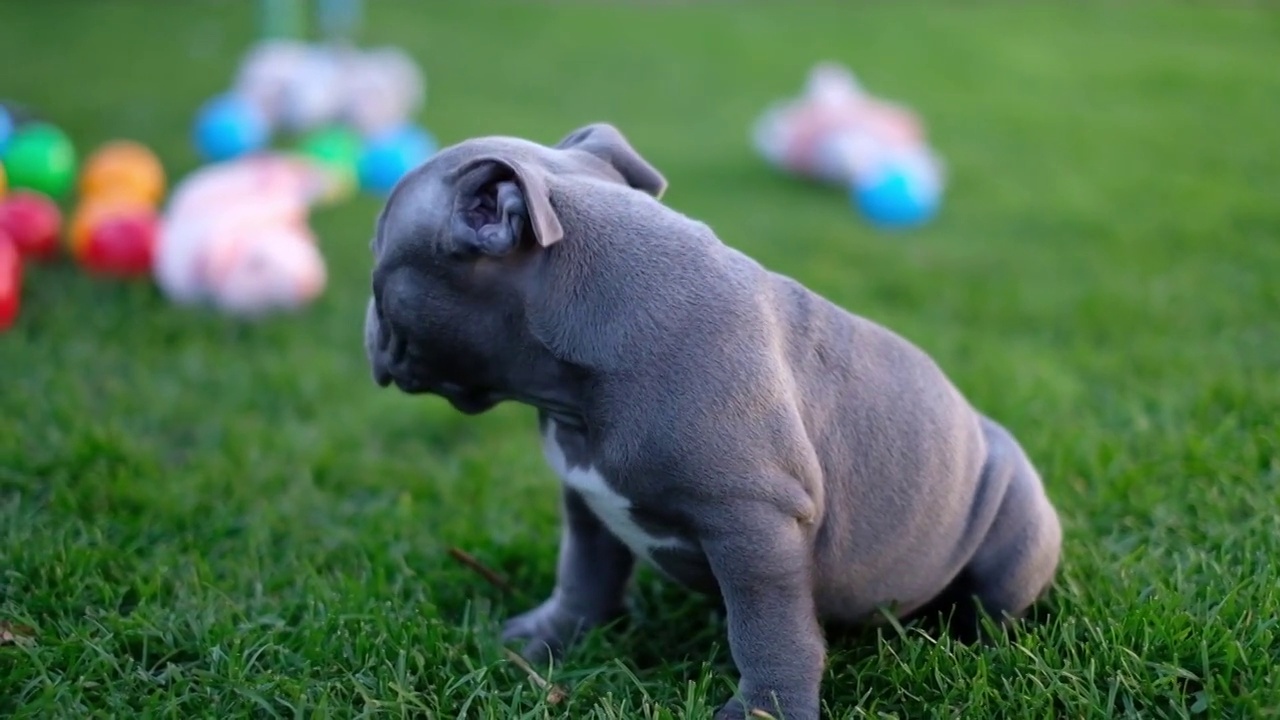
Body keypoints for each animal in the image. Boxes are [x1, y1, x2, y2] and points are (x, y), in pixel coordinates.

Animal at [360, 120, 1059, 712]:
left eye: (375, 263)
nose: (365, 322)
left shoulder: (754, 523)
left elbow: (767, 629)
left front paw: (767, 709)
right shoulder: (585, 499)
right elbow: (583, 573)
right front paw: (549, 636)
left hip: (1014, 526)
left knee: (993, 605)